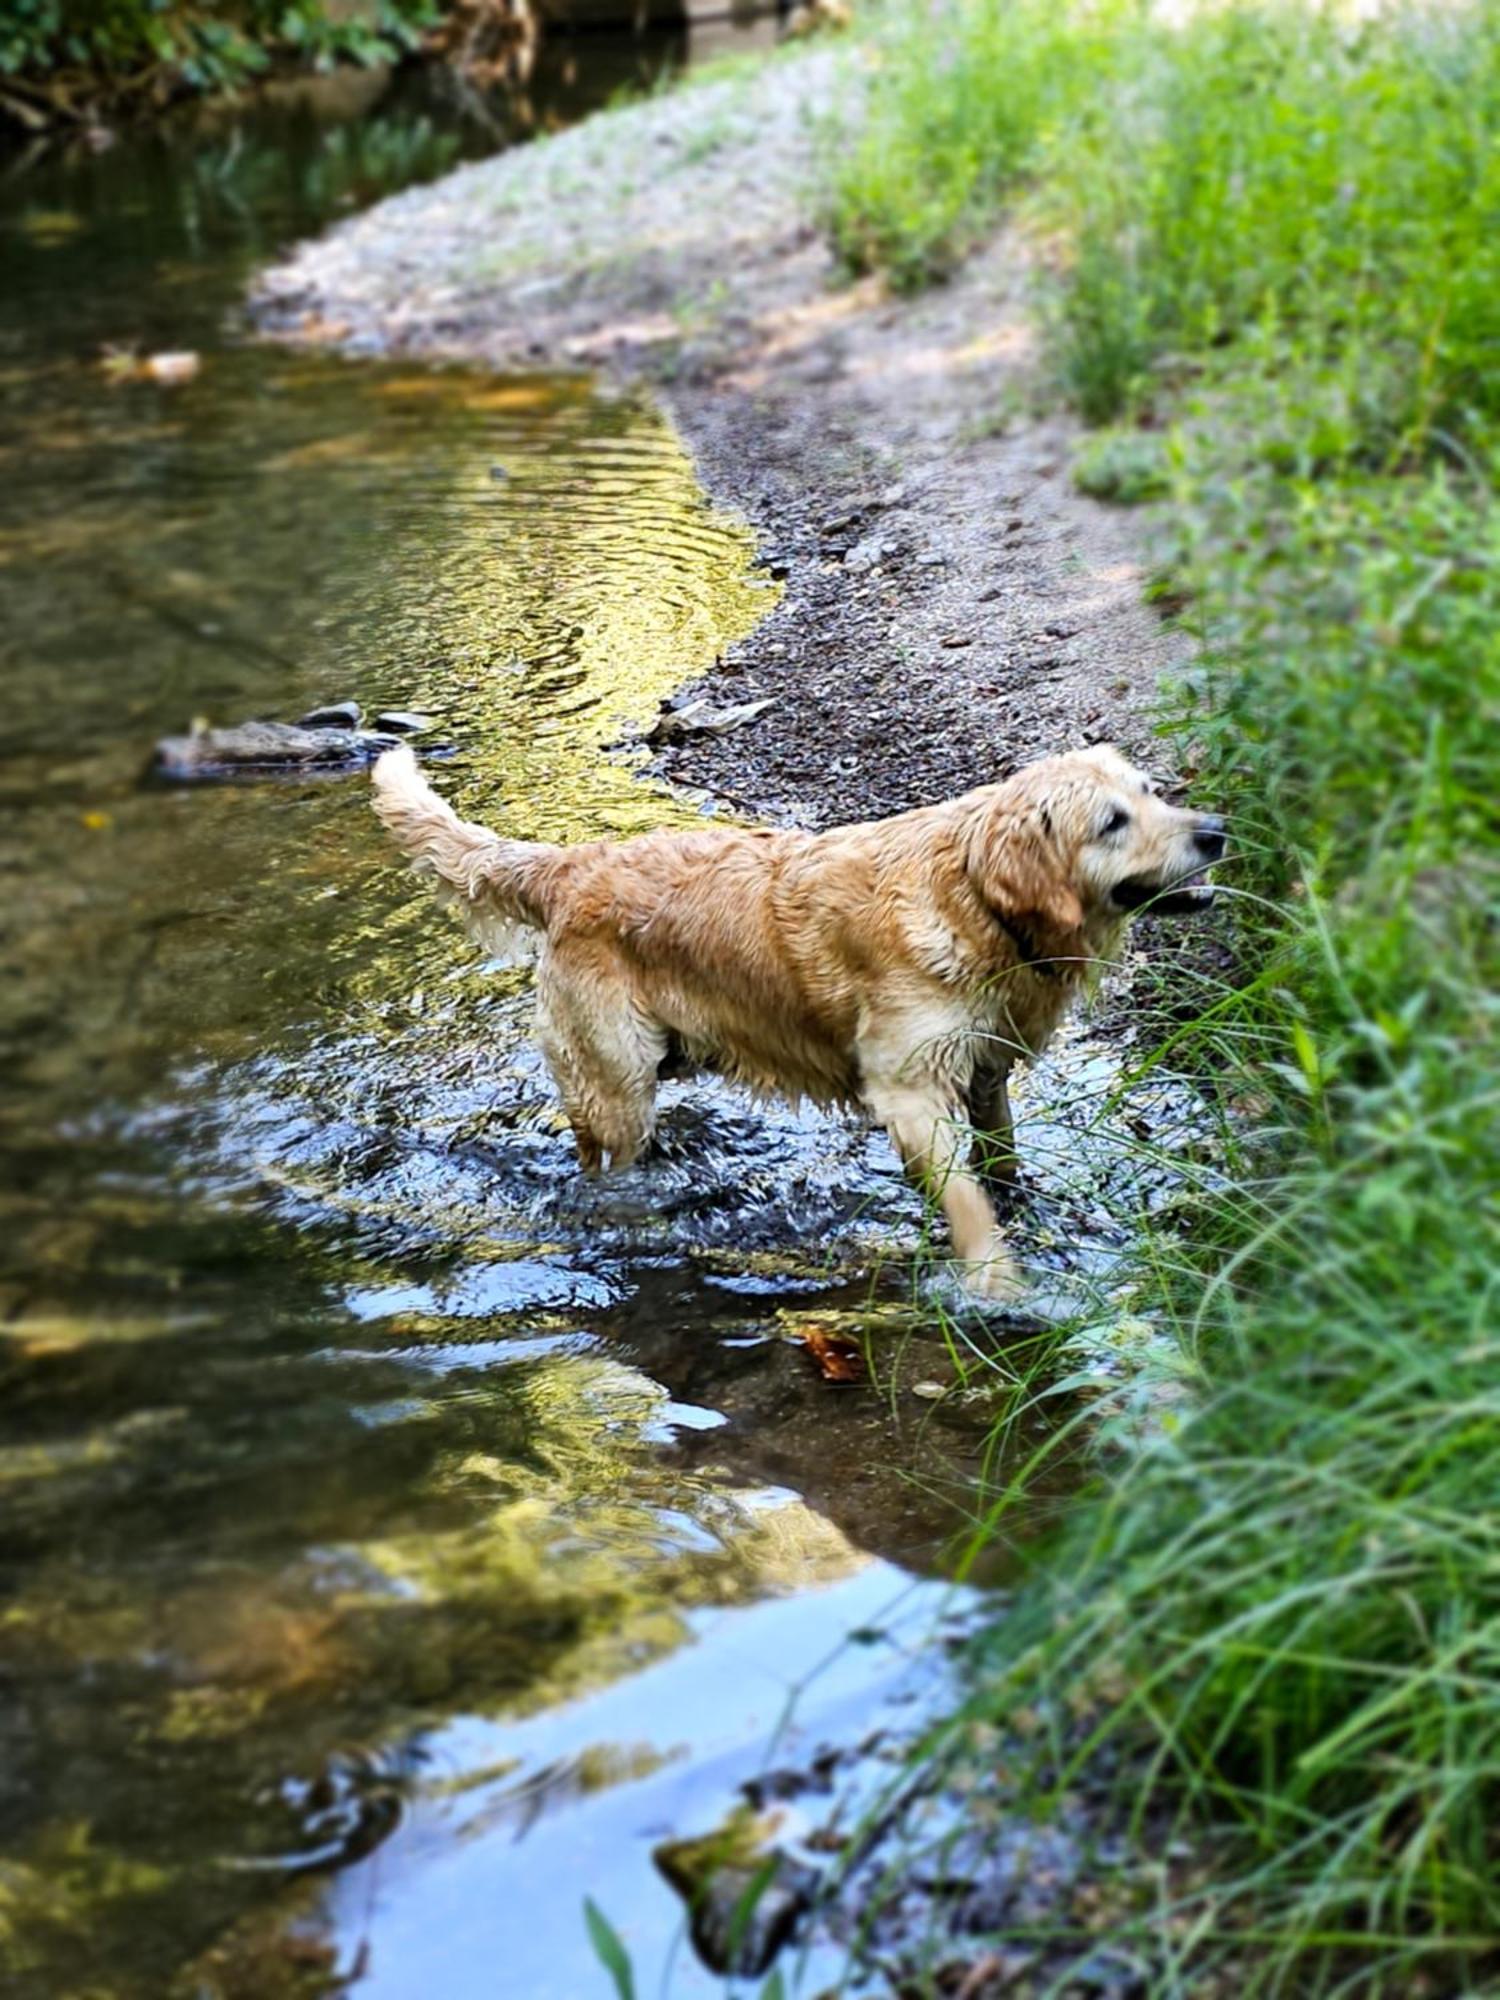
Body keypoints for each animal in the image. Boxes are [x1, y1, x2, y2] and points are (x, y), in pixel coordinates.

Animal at [374, 748, 1224, 1296]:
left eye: (1153, 792)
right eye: (1113, 822)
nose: (1215, 829)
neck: (977, 902)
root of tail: (570, 865)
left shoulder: (983, 1069)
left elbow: (1001, 1163)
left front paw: (1025, 1212)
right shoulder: (909, 1092)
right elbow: (967, 1203)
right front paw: (997, 1285)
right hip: (614, 1084)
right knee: (605, 1159)